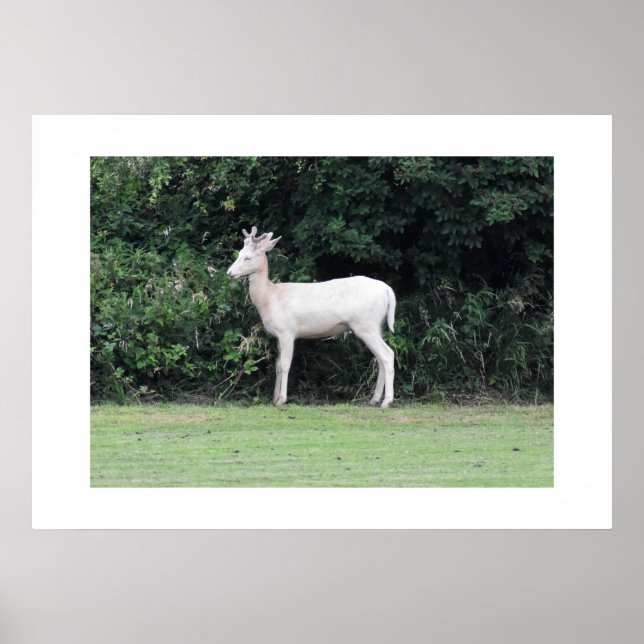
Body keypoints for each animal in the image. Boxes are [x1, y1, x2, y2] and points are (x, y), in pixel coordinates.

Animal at [226, 226, 396, 408]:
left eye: (248, 257)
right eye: (239, 253)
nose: (229, 272)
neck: (270, 298)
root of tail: (387, 290)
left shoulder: (287, 331)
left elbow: (285, 365)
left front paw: (281, 399)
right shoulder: (278, 335)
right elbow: (277, 366)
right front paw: (274, 398)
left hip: (366, 325)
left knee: (387, 354)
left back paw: (387, 401)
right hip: (376, 325)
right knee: (379, 358)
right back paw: (374, 399)